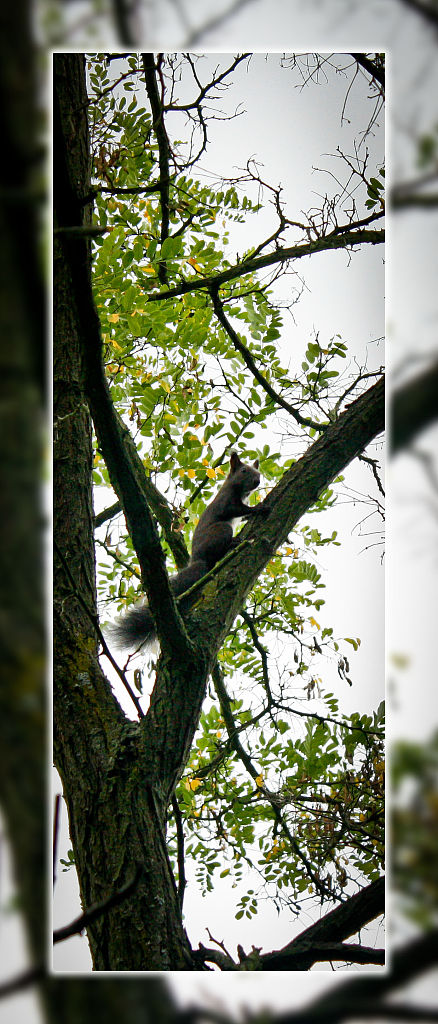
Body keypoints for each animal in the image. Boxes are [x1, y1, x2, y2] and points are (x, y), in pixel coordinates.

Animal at [111, 454, 266, 651]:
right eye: (244, 471)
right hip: (221, 530)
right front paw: (258, 508)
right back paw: (232, 543)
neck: (239, 491)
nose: (257, 481)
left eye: (258, 472)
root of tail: (198, 560)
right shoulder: (226, 502)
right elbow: (235, 510)